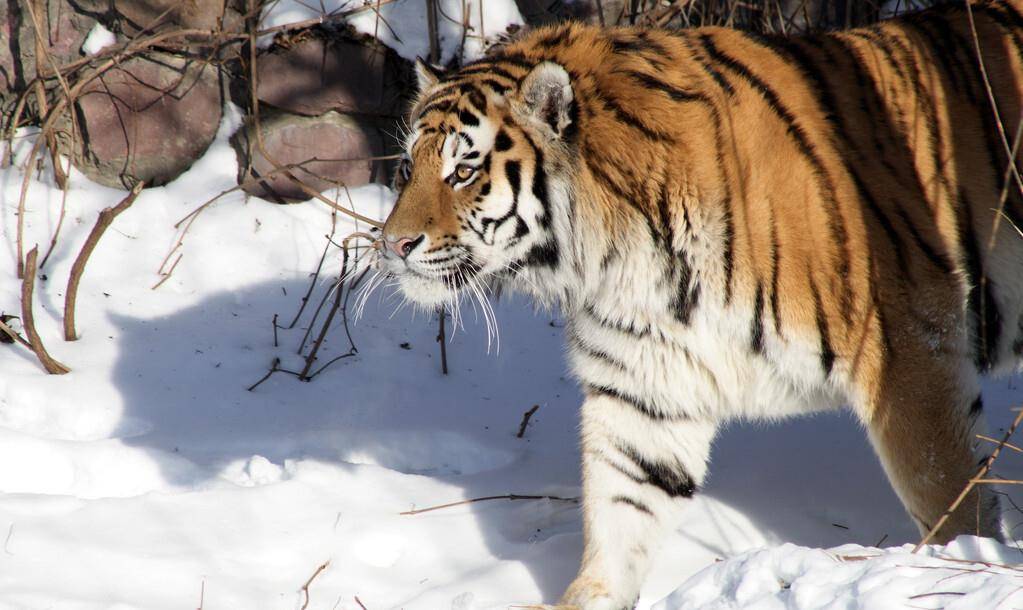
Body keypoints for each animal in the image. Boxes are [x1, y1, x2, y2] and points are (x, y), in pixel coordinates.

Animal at [376, 2, 1023, 605]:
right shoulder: (644, 385)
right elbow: (621, 509)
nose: (393, 245)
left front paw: (959, 567)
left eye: (464, 170)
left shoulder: (910, 353)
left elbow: (946, 493)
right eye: (408, 167)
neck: (615, 256)